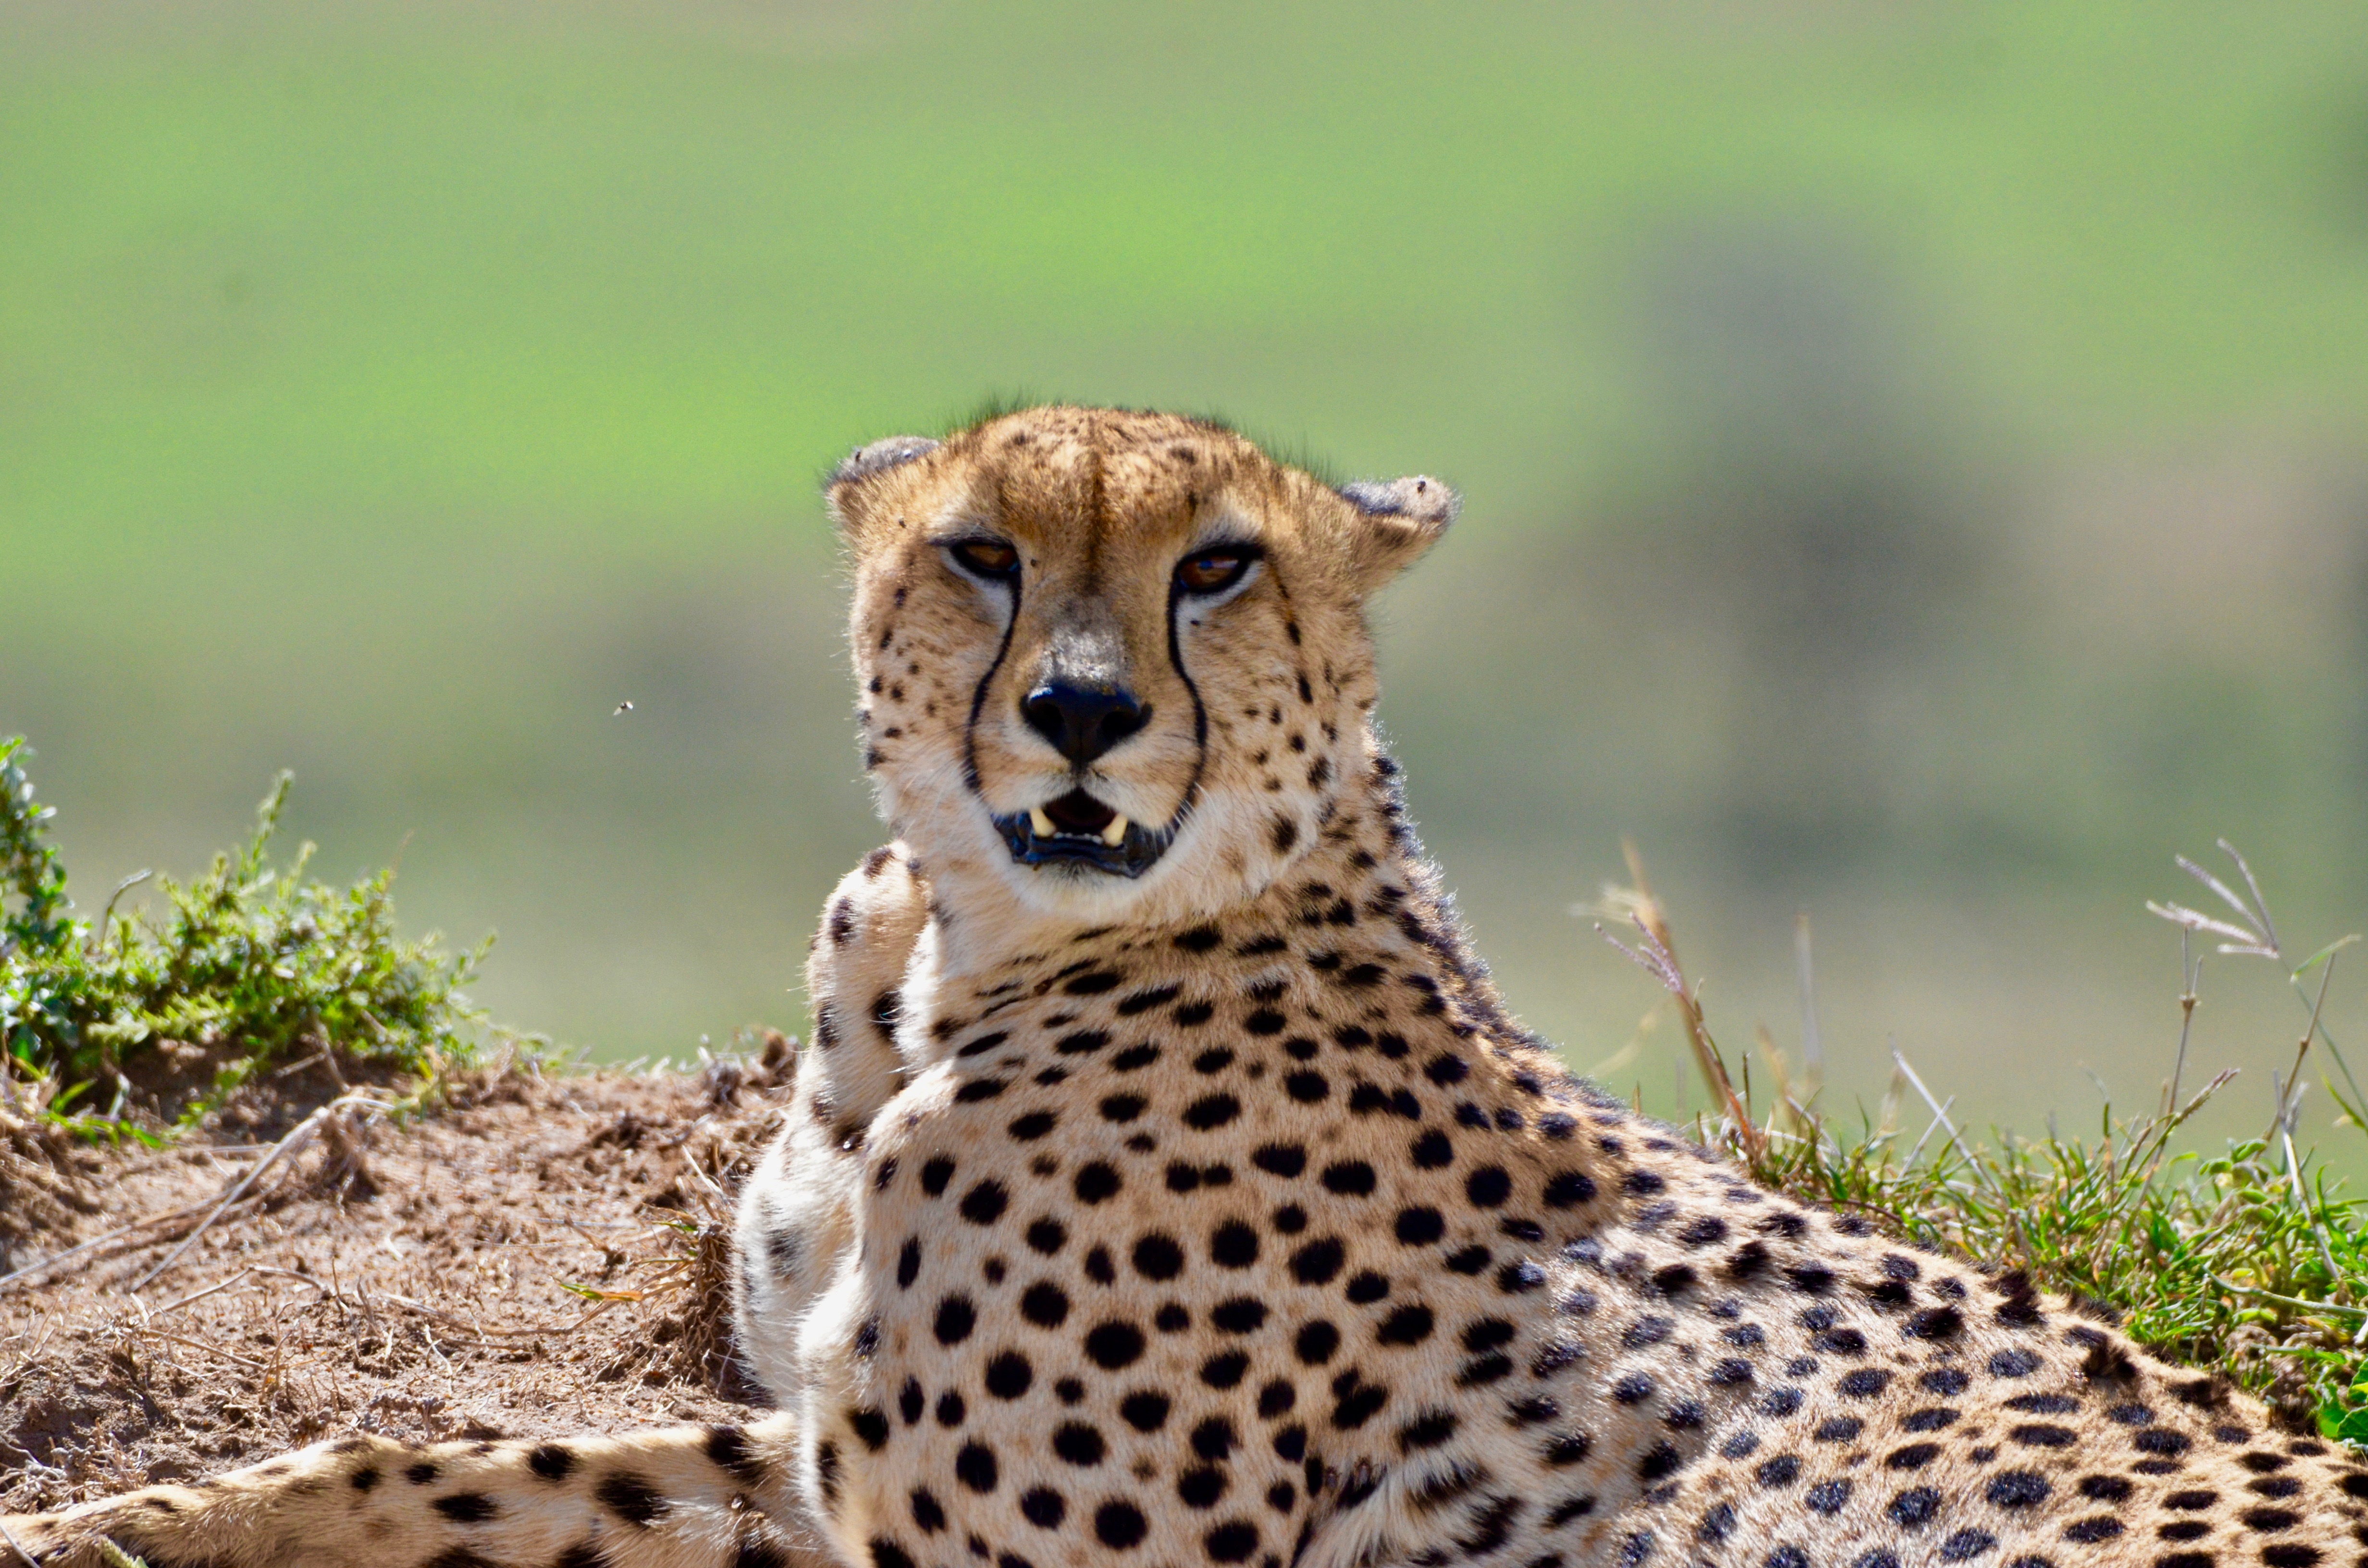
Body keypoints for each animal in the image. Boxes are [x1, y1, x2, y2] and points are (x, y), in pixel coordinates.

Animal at [9, 407, 2358, 1568]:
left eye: (1215, 564)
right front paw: (114, 1528)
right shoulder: (818, 1457)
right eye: (979, 552)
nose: (1077, 712)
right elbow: (461, 1467)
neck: (958, 959)